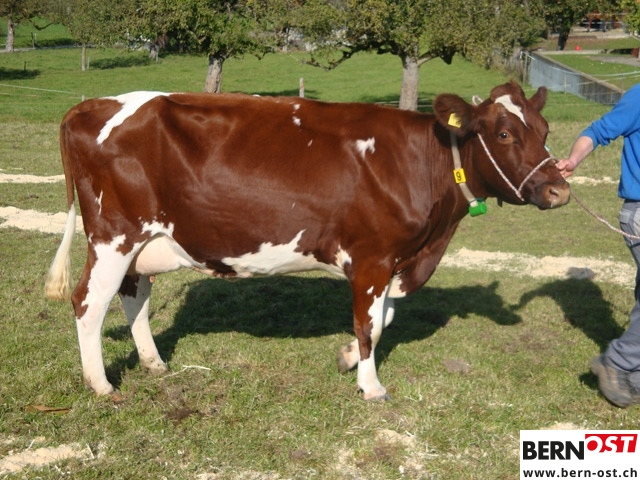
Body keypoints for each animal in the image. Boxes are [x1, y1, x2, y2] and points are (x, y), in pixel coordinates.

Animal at [45, 81, 570, 400]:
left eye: (545, 129)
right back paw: (100, 384)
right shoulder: (373, 257)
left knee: (134, 297)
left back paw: (153, 364)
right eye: (503, 133)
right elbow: (369, 325)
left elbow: (384, 320)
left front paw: (346, 360)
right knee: (88, 302)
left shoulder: (394, 260)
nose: (559, 190)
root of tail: (90, 105)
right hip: (114, 236)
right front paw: (371, 387)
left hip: (143, 243)